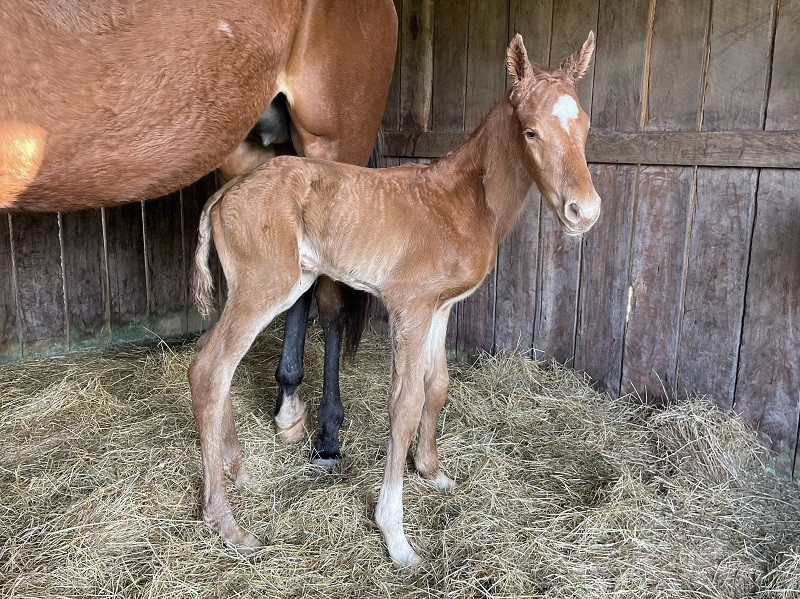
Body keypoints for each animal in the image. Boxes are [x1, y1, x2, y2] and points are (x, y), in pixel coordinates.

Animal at [189, 32, 600, 568]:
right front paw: (395, 534)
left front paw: (431, 471)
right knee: (210, 369)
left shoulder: (440, 307)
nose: (584, 212)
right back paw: (226, 522)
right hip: (264, 286)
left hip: (280, 285)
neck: (461, 201)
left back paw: (237, 471)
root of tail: (226, 193)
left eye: (586, 128)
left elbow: (437, 386)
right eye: (530, 132)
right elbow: (403, 405)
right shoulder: (409, 307)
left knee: (215, 362)